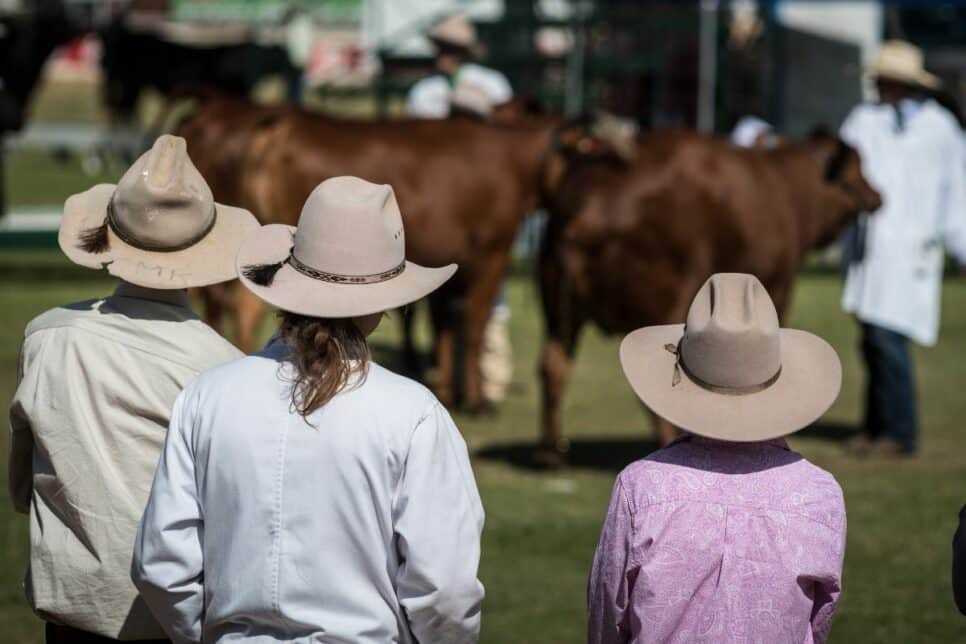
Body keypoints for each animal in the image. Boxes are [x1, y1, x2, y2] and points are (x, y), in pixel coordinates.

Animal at [536, 128, 884, 466]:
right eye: (855, 169)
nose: (876, 196)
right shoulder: (781, 286)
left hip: (557, 307)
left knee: (552, 365)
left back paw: (551, 453)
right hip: (670, 299)